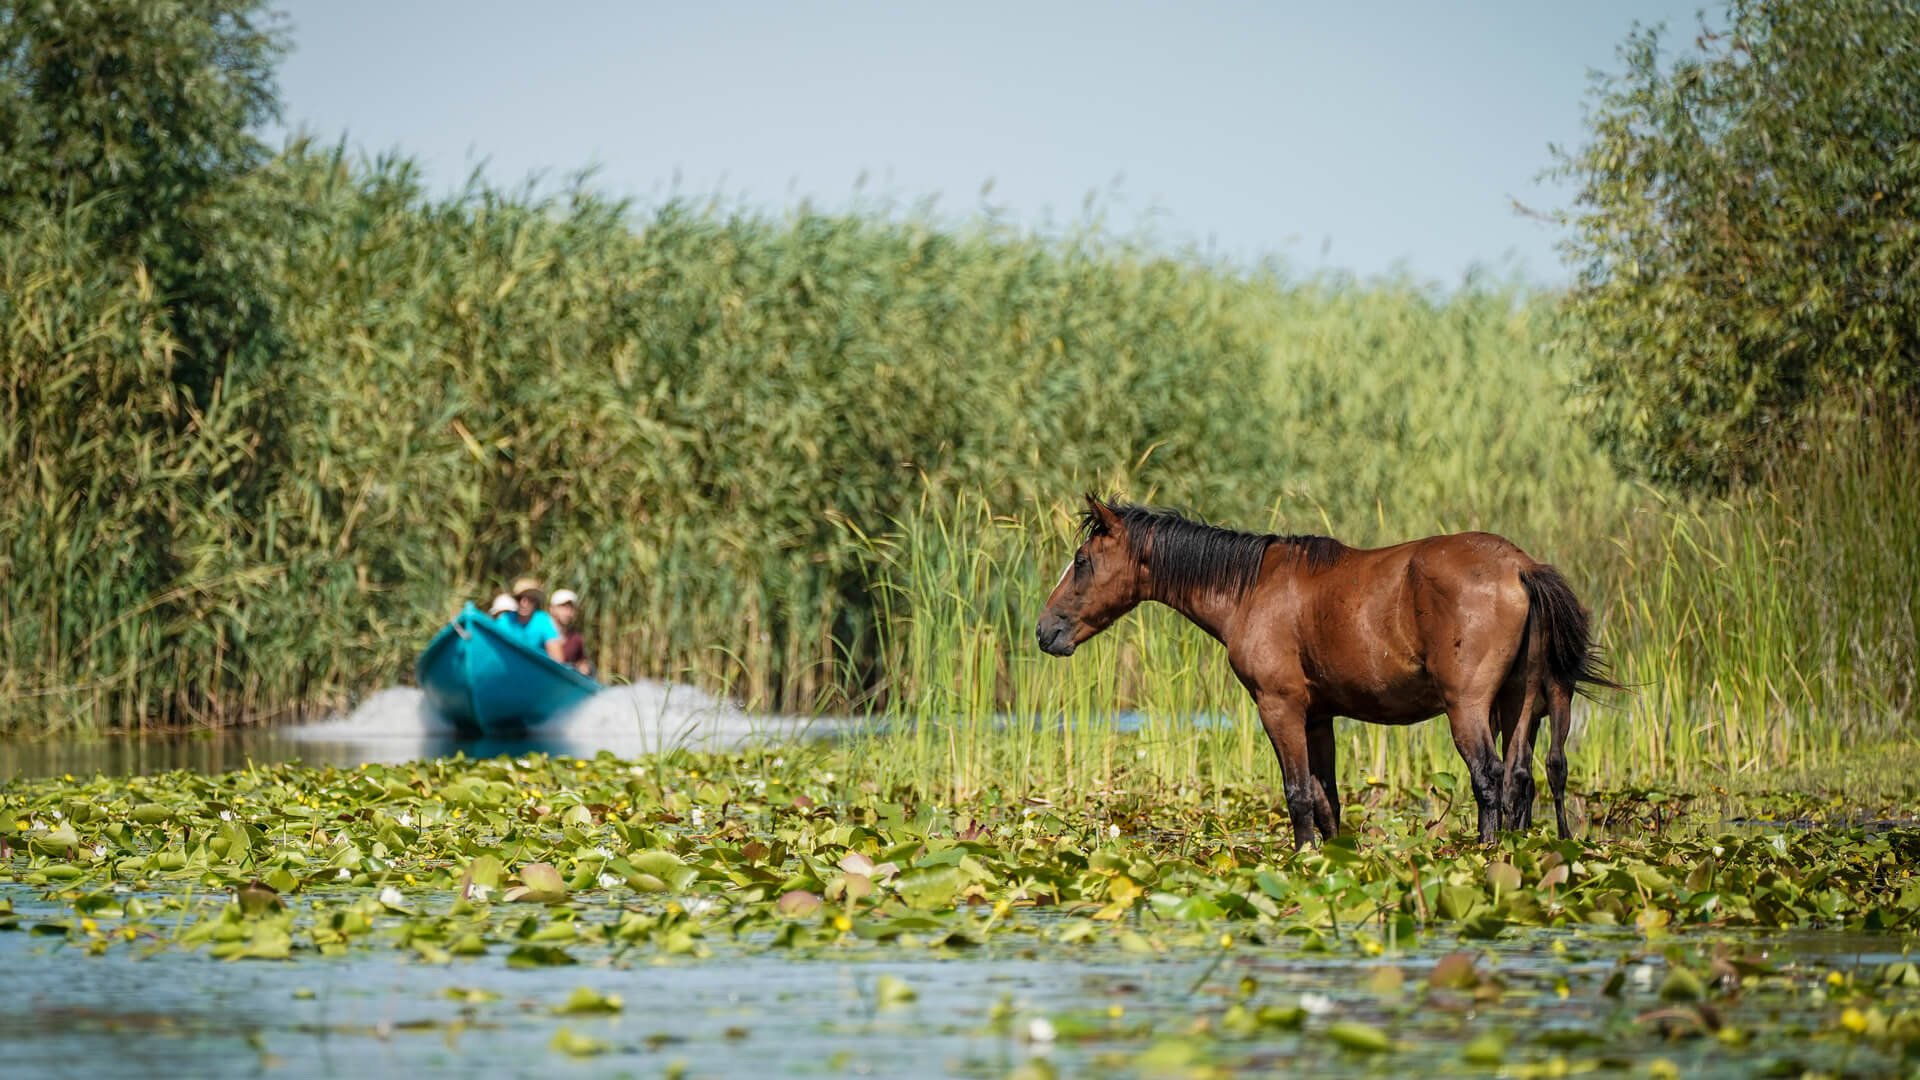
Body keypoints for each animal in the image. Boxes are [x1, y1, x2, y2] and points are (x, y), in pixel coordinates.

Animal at [1035, 495, 1622, 849]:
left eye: (1082, 560)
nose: (1046, 631)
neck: (1251, 588)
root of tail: (1521, 567)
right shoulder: (1319, 718)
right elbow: (1327, 800)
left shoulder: (1279, 707)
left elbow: (1297, 794)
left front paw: (1303, 857)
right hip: (1520, 703)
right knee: (1522, 776)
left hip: (1470, 708)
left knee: (1489, 776)